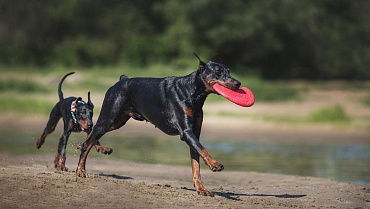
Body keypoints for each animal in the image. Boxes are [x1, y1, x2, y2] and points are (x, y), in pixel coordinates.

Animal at [76, 53, 241, 196]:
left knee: (91, 135)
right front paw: (215, 164)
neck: (192, 93)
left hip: (117, 122)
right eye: (219, 71)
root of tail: (122, 80)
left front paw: (201, 189)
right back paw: (80, 170)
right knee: (90, 141)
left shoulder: (194, 132)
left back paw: (87, 146)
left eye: (229, 71)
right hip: (108, 117)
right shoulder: (186, 132)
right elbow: (202, 150)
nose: (238, 83)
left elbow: (196, 162)